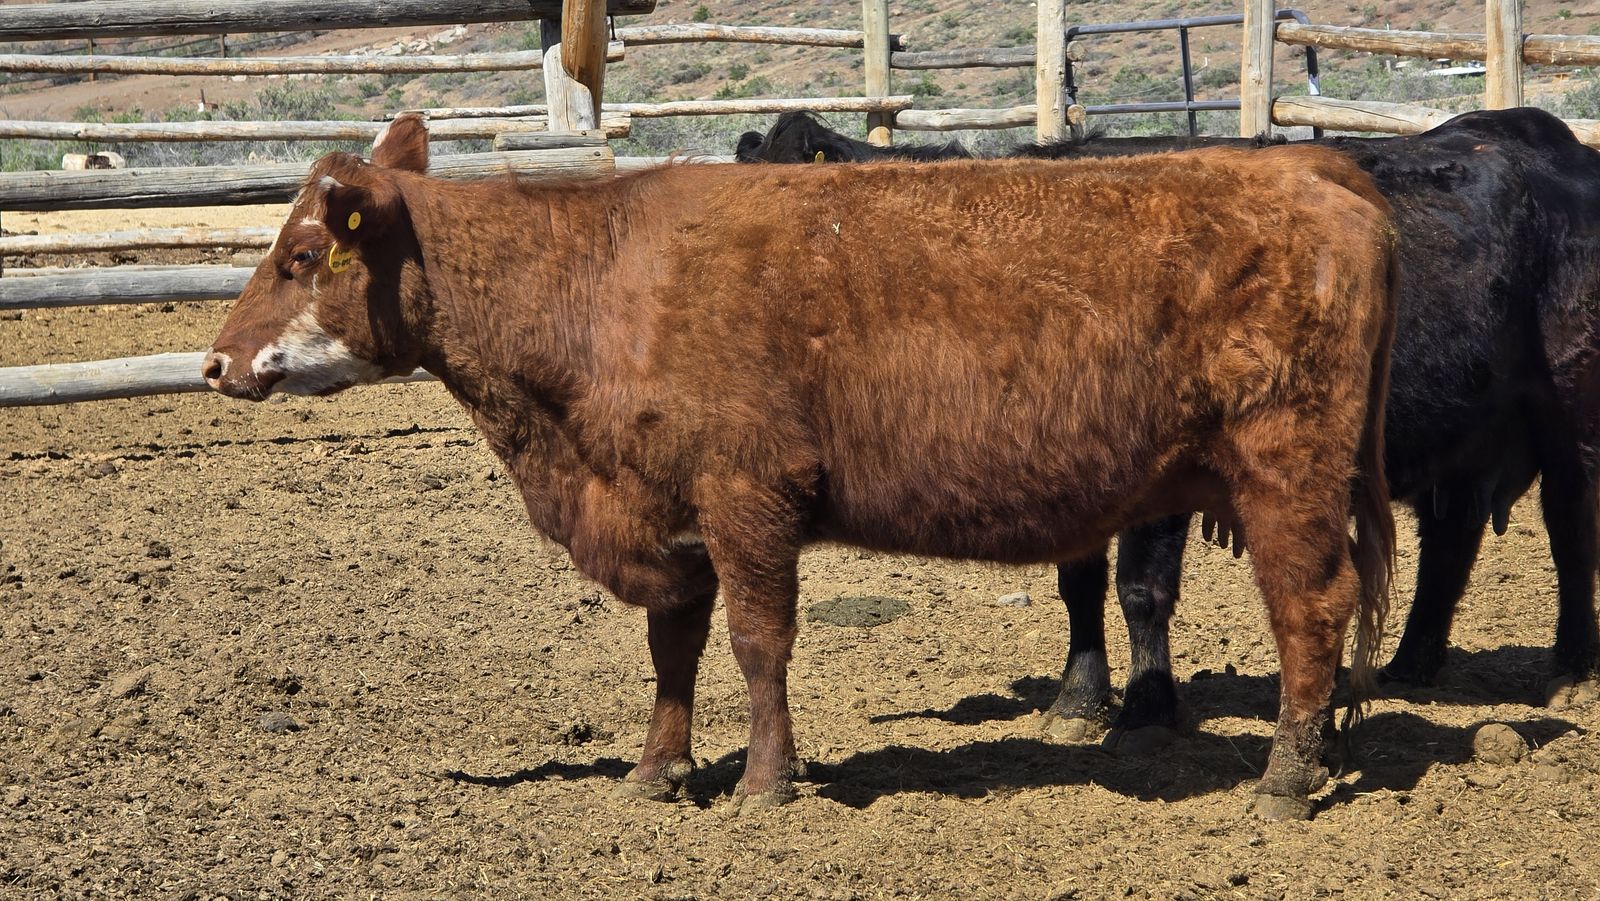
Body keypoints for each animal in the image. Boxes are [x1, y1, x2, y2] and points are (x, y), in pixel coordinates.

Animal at [204, 113, 1399, 820]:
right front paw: (659, 771)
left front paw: (766, 784)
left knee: (1311, 607)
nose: (214, 361)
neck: (601, 285)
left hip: (1286, 468)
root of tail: (1303, 164)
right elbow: (674, 648)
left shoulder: (749, 496)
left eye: (302, 255)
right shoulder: (671, 512)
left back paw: (1286, 779)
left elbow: (756, 642)